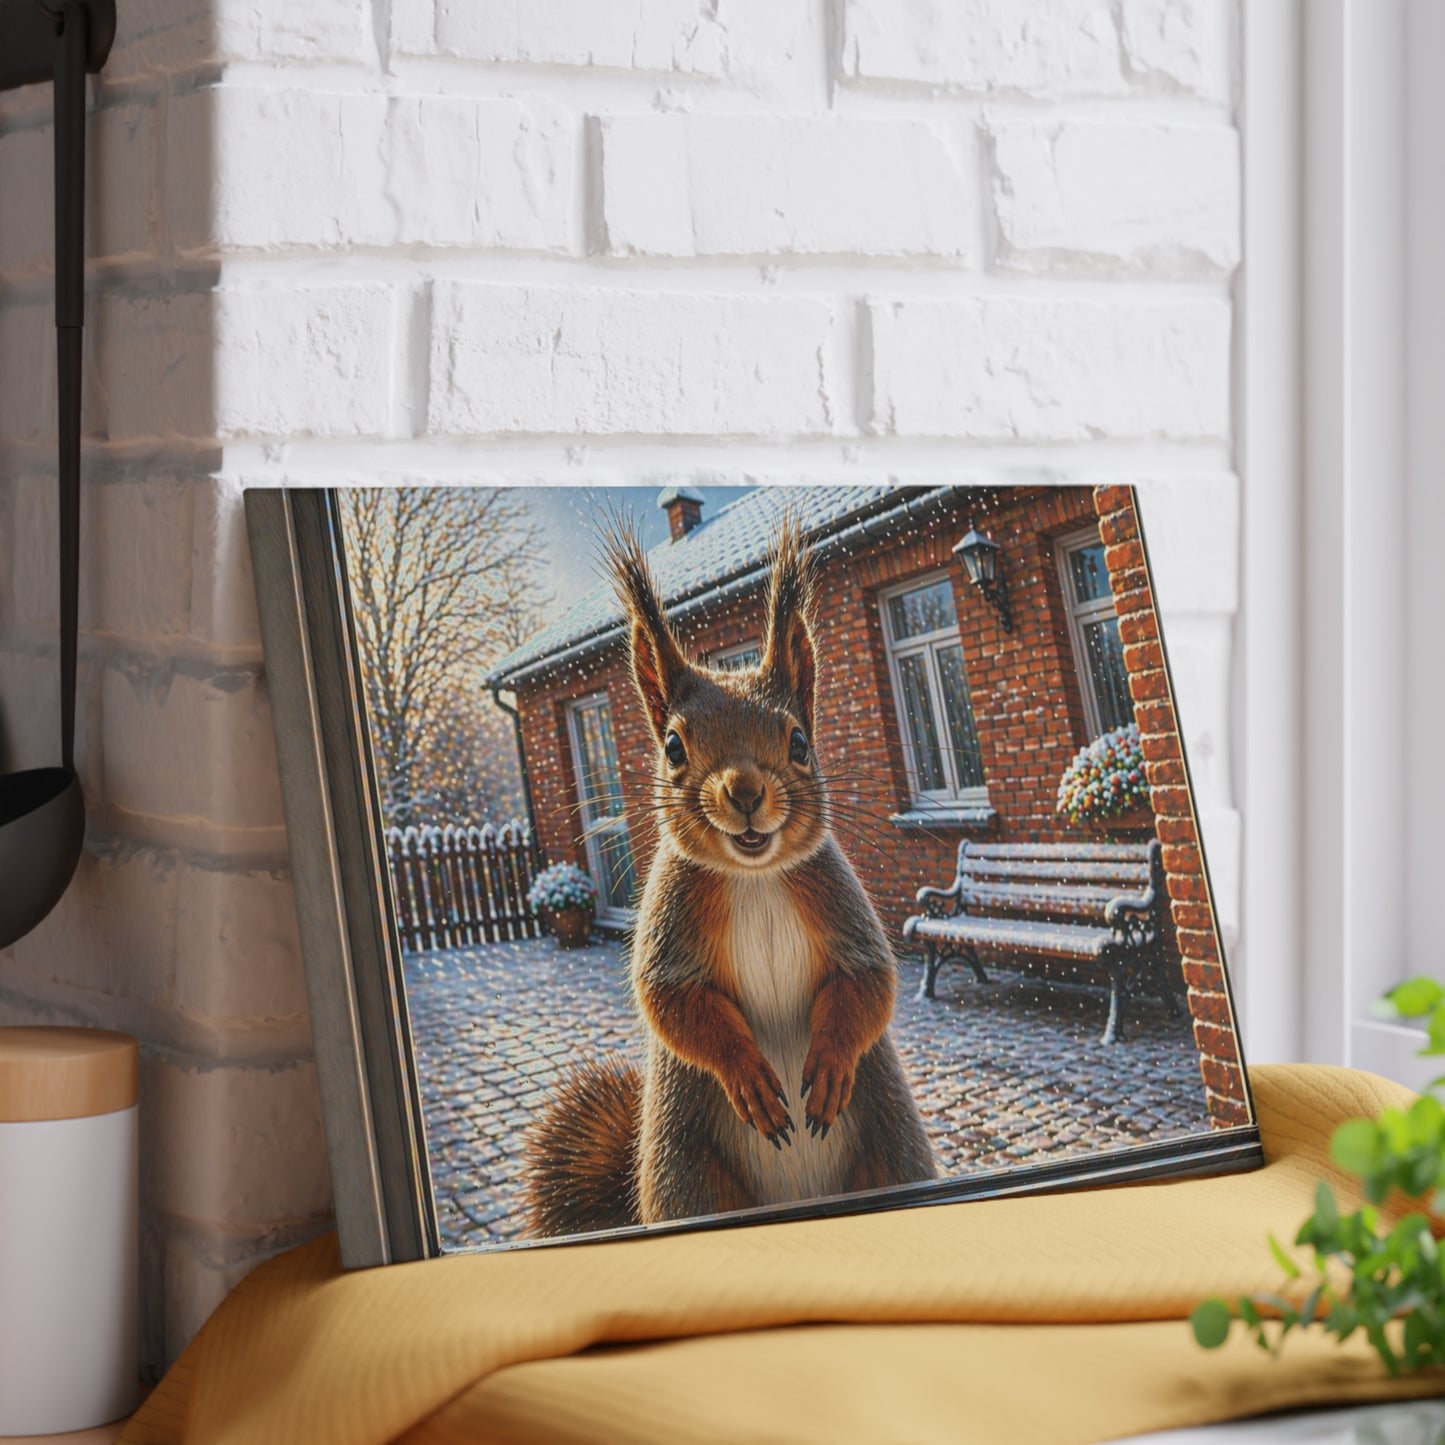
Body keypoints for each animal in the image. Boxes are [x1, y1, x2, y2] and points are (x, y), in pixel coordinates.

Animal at [524, 518, 937, 1237]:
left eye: (799, 742)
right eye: (672, 747)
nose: (744, 790)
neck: (755, 877)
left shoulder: (837, 897)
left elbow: (868, 984)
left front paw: (829, 1065)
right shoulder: (670, 918)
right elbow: (672, 1003)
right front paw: (750, 1078)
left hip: (890, 1148)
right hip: (691, 1174)